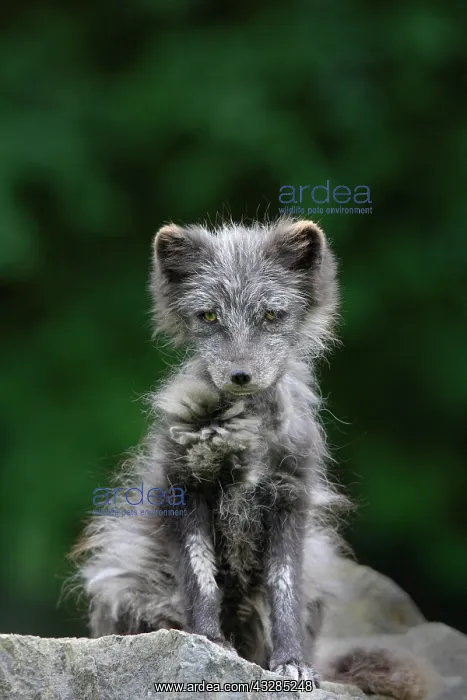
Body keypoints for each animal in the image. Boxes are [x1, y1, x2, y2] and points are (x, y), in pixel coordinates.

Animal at [70, 218, 439, 699]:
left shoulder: (290, 499)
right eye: (209, 316)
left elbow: (284, 589)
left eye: (271, 316)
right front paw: (208, 642)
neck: (245, 430)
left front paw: (292, 663)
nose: (240, 375)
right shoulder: (185, 489)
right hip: (130, 583)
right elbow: (201, 578)